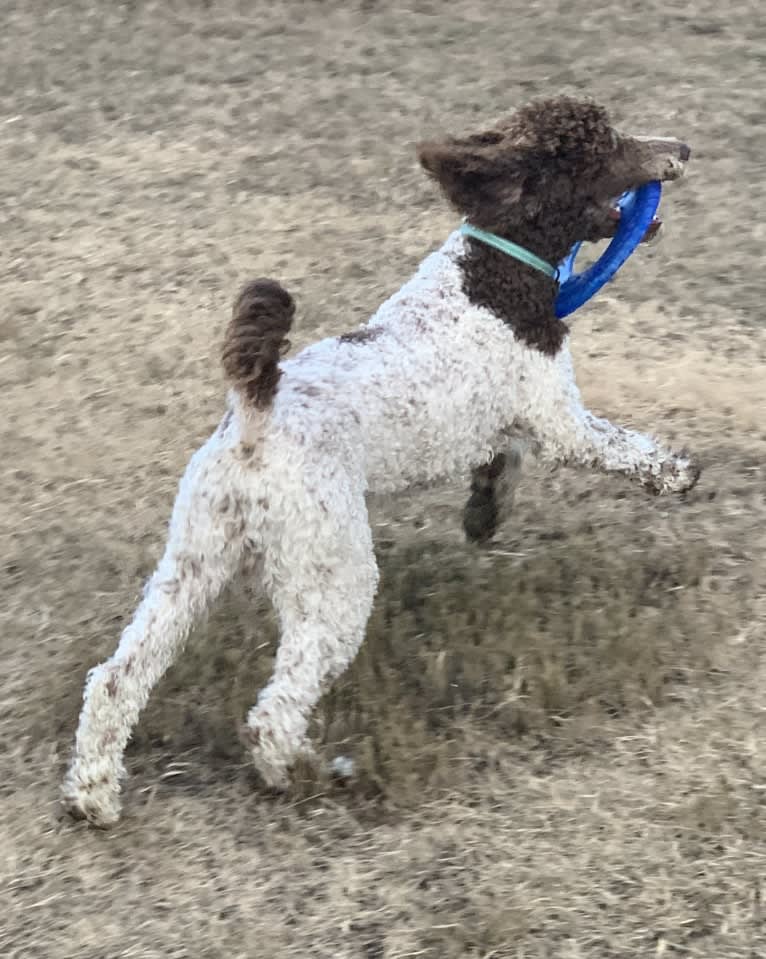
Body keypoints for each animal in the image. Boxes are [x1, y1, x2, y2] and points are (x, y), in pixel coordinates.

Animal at [63, 95, 704, 824]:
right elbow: (618, 448)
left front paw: (484, 513)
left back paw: (92, 793)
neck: (494, 273)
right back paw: (309, 774)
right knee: (273, 711)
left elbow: (502, 463)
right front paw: (678, 472)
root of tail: (258, 412)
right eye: (607, 144)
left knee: (116, 679)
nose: (682, 148)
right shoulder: (556, 415)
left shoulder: (505, 419)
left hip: (193, 562)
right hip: (332, 570)